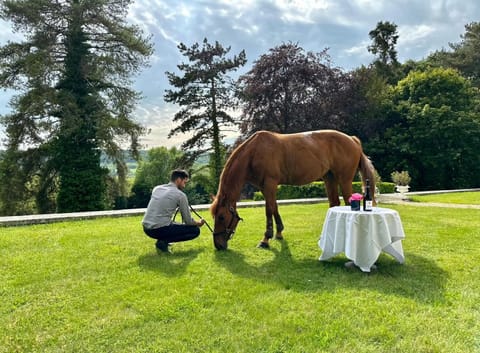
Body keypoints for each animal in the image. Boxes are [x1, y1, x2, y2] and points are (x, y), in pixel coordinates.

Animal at [210, 130, 376, 250]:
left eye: (221, 217)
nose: (218, 245)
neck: (254, 152)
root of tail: (352, 140)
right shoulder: (265, 187)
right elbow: (274, 207)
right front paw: (279, 233)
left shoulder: (269, 184)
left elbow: (268, 210)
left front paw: (266, 239)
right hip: (329, 178)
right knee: (334, 203)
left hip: (344, 179)